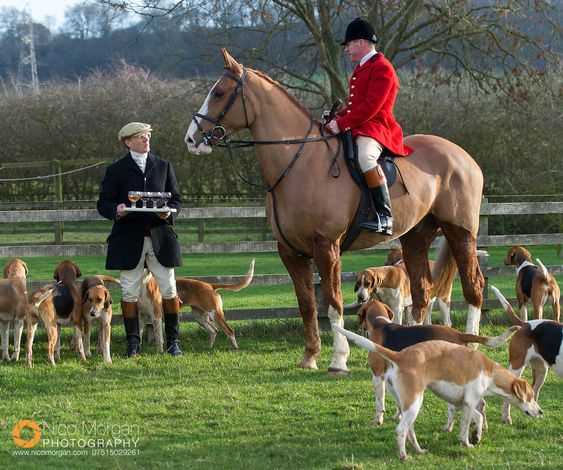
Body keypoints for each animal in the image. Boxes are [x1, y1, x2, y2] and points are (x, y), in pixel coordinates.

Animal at [185, 50, 484, 374]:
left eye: (219, 93)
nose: (191, 139)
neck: (299, 162)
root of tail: (464, 155)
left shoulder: (326, 247)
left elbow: (332, 303)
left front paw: (339, 359)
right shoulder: (290, 251)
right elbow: (307, 305)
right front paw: (310, 356)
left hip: (460, 231)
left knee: (473, 286)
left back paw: (471, 344)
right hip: (416, 236)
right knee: (422, 290)